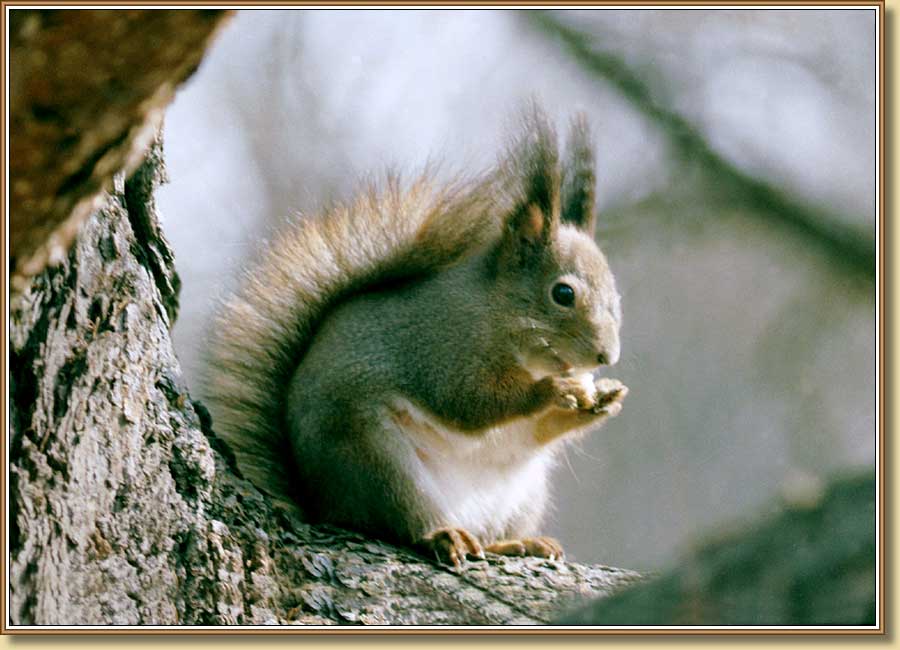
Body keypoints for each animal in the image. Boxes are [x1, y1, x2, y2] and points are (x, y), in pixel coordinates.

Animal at [201, 107, 628, 568]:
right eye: (563, 294)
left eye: (617, 297)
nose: (607, 357)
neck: (497, 313)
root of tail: (323, 504)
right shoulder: (441, 348)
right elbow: (470, 402)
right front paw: (553, 389)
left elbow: (536, 430)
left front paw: (603, 398)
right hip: (376, 461)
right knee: (407, 520)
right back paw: (445, 535)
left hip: (522, 495)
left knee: (490, 535)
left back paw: (518, 543)